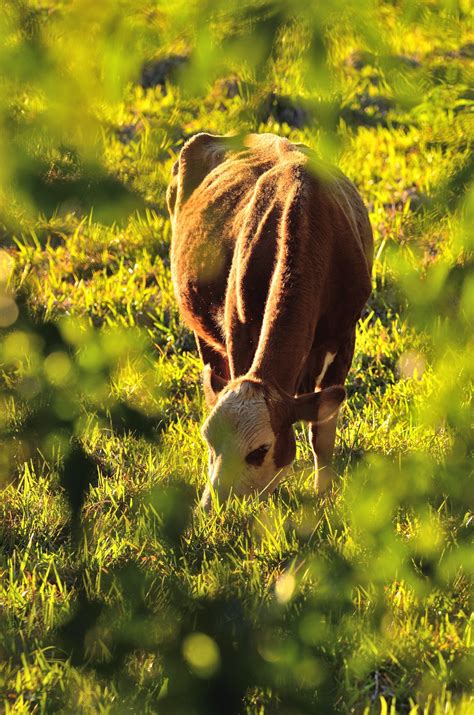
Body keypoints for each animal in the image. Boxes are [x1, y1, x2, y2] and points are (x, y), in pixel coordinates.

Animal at [168, 133, 374, 510]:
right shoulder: (239, 328)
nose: (210, 505)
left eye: (259, 451)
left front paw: (323, 492)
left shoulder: (344, 335)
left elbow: (322, 430)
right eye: (209, 440)